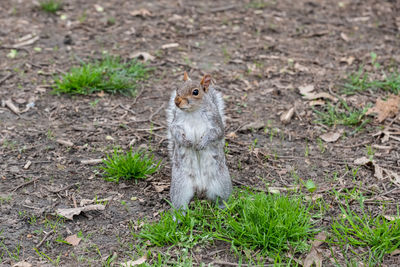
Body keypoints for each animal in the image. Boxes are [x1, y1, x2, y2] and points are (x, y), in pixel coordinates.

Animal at [166, 72, 234, 210]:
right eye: (177, 89)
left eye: (195, 92)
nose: (176, 101)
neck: (193, 112)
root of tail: (200, 187)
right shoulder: (176, 124)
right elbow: (175, 132)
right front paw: (187, 143)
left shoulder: (215, 123)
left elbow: (216, 134)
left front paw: (202, 144)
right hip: (180, 186)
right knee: (179, 204)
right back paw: (179, 214)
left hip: (222, 184)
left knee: (222, 199)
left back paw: (223, 209)